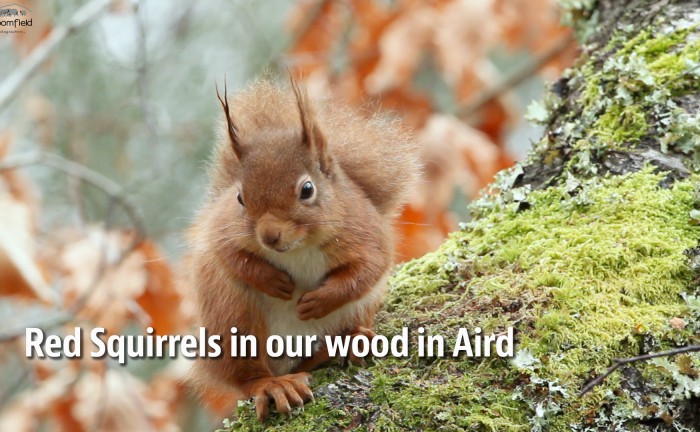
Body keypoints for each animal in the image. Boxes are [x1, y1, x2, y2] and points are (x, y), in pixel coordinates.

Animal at [187, 77, 422, 418]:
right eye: (240, 198)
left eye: (307, 189)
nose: (269, 236)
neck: (298, 248)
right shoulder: (222, 227)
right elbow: (229, 256)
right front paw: (272, 280)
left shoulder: (364, 230)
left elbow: (368, 268)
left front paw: (319, 301)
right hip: (231, 315)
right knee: (247, 375)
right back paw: (272, 384)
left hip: (359, 309)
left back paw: (347, 343)